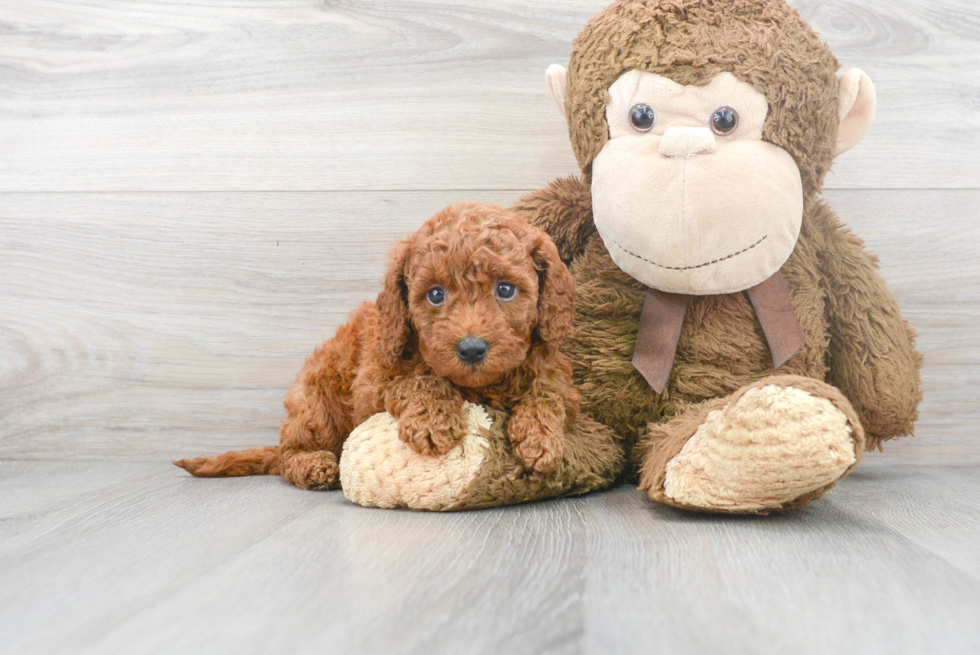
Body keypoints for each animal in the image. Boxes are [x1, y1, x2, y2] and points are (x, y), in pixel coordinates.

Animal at [174, 202, 580, 490]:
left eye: (505, 289)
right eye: (435, 294)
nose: (471, 349)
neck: (480, 386)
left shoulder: (557, 375)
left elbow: (548, 395)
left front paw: (541, 439)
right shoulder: (376, 381)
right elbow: (419, 380)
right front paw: (432, 422)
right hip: (316, 406)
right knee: (290, 453)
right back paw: (314, 466)